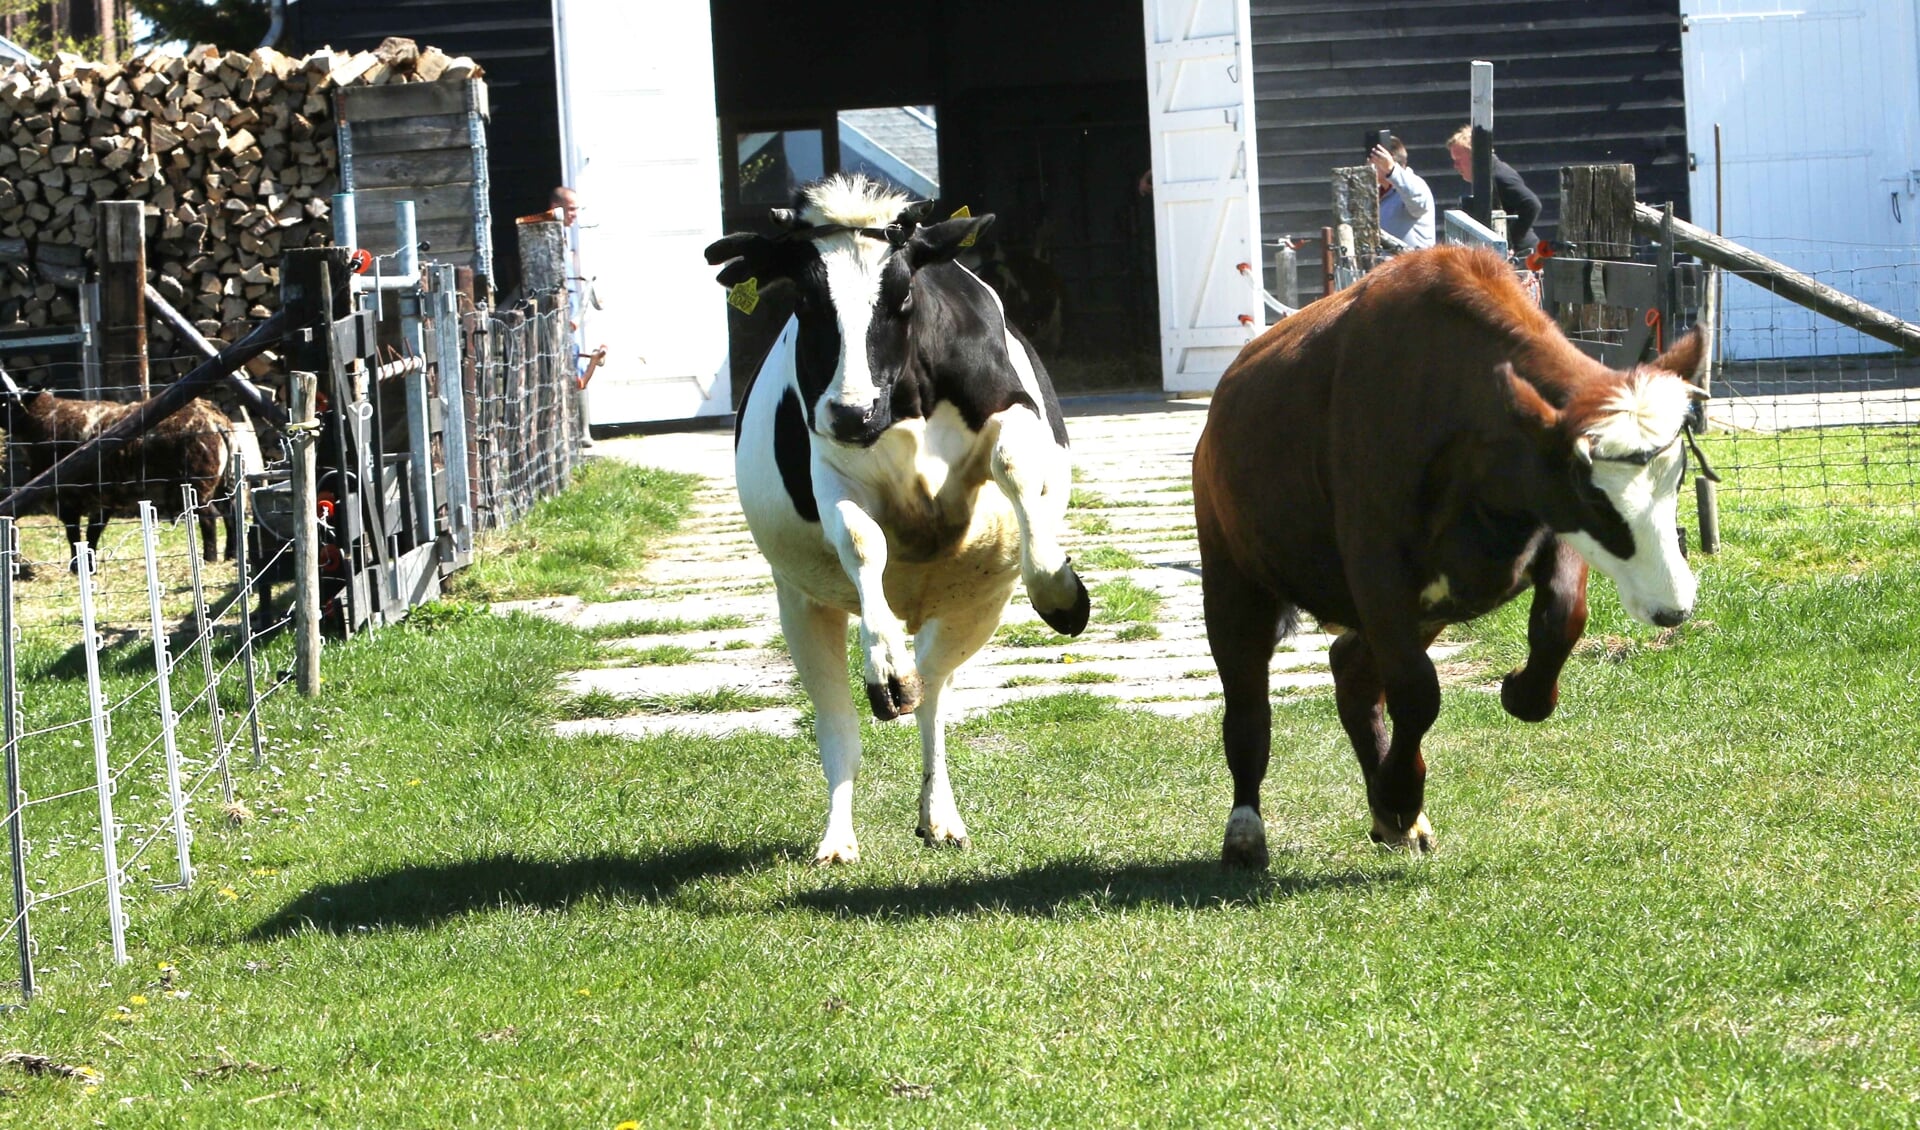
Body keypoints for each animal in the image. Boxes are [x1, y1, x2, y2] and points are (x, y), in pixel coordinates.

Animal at [0, 370, 236, 569]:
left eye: (6, 402)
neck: (38, 421)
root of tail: (215, 419)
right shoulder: (101, 501)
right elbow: (92, 534)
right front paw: (89, 567)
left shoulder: (67, 499)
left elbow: (74, 535)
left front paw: (77, 568)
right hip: (223, 482)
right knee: (231, 512)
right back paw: (231, 555)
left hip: (196, 484)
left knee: (210, 517)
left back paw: (210, 558)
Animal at [706, 174, 1091, 864]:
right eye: (805, 299)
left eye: (902, 293)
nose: (854, 411)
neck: (905, 401)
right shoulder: (827, 463)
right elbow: (862, 541)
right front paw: (885, 666)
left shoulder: (1011, 409)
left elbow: (1015, 465)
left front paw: (1059, 591)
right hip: (800, 606)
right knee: (839, 720)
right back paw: (839, 835)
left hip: (971, 605)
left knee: (934, 695)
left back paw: (939, 815)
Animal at [1192, 246, 1706, 864]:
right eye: (1593, 494)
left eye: (1678, 473)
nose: (1674, 607)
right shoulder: (1378, 572)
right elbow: (1418, 693)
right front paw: (1399, 796)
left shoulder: (1547, 527)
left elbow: (1562, 619)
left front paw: (1519, 692)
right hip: (1232, 576)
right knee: (1248, 706)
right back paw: (1247, 830)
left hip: (1423, 610)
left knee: (1352, 670)